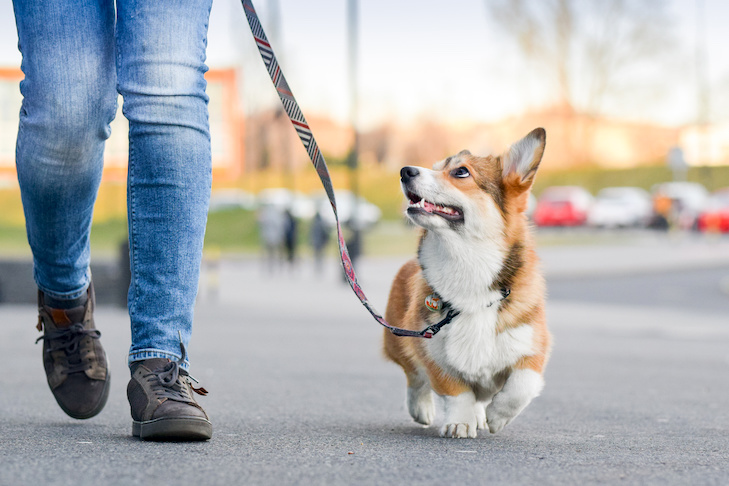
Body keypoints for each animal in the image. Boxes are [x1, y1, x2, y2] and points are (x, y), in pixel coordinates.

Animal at [384, 128, 548, 436]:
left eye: (461, 172)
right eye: (435, 167)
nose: (405, 170)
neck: (468, 263)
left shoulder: (533, 346)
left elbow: (522, 385)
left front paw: (497, 416)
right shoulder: (431, 348)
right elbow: (456, 391)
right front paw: (460, 422)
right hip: (398, 339)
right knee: (414, 377)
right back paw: (422, 409)